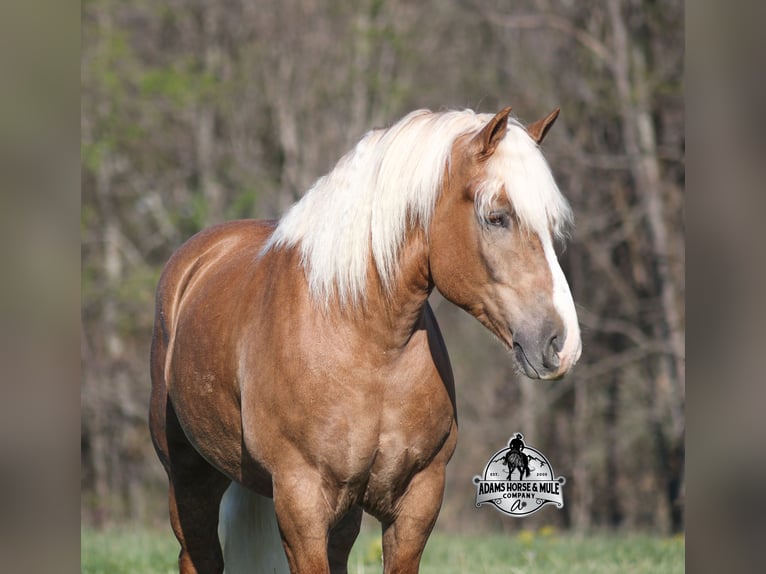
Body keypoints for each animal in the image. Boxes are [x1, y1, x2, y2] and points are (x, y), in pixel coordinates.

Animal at [149, 106, 581, 574]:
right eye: (496, 216)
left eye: (551, 224)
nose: (563, 344)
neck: (370, 347)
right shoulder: (301, 502)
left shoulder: (418, 498)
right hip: (189, 478)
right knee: (198, 554)